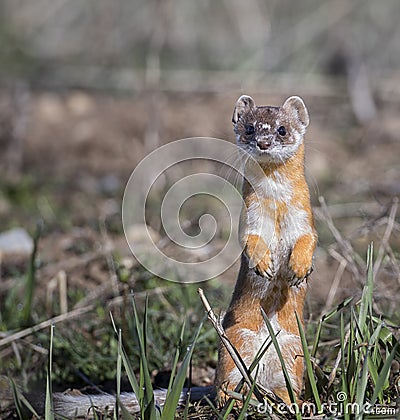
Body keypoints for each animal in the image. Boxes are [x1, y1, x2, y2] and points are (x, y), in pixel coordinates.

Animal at [217, 94, 318, 404]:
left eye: (282, 129)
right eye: (249, 128)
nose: (263, 142)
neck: (276, 203)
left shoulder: (304, 218)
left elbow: (309, 239)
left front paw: (298, 268)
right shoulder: (249, 218)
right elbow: (250, 241)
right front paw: (264, 264)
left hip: (294, 349)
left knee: (286, 384)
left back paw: (292, 401)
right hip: (233, 341)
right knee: (225, 379)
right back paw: (228, 397)